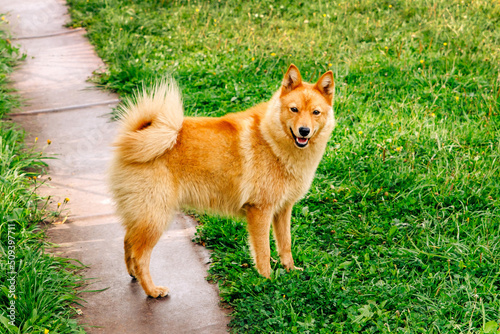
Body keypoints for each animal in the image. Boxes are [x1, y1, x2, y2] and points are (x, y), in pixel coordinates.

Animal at [109, 65, 336, 298]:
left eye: (315, 112)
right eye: (294, 109)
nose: (304, 131)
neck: (271, 140)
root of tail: (135, 136)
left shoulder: (282, 210)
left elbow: (285, 244)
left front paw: (290, 270)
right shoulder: (260, 211)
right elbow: (263, 251)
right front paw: (267, 281)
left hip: (143, 215)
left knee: (127, 242)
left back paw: (134, 275)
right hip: (155, 217)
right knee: (140, 256)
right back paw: (152, 290)